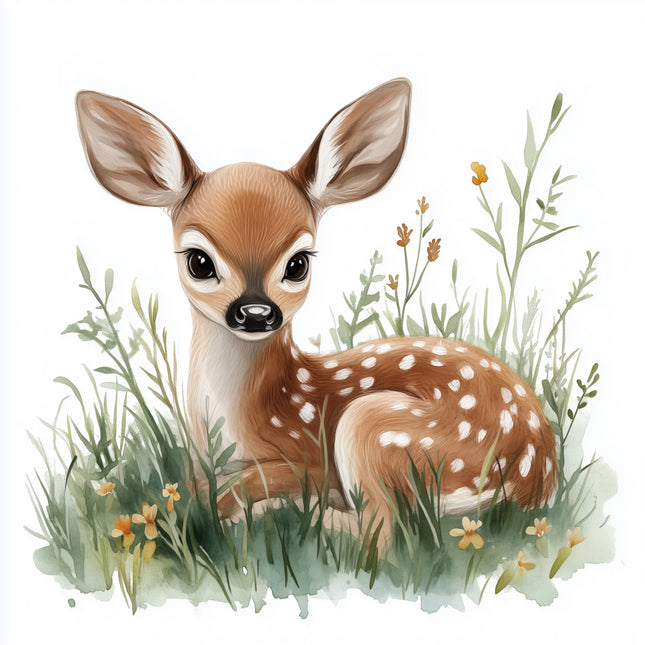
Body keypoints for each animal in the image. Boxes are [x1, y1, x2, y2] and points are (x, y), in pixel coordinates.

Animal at [75, 78, 557, 546]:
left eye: (298, 264)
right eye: (199, 261)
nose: (255, 313)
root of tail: (535, 477)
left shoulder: (309, 462)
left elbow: (242, 489)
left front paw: (233, 510)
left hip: (380, 427)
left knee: (383, 533)